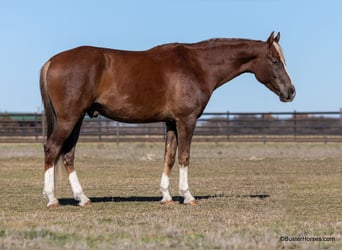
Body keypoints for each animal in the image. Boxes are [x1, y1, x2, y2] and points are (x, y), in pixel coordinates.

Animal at [40, 31, 296, 207]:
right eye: (275, 61)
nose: (291, 92)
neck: (197, 66)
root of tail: (52, 61)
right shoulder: (186, 120)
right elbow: (184, 156)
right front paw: (188, 196)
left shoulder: (171, 122)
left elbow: (169, 157)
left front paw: (166, 196)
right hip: (69, 119)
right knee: (52, 149)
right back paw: (52, 199)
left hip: (76, 119)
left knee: (68, 155)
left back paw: (83, 198)